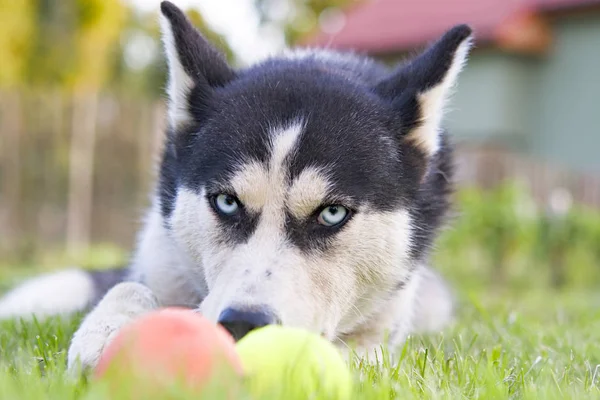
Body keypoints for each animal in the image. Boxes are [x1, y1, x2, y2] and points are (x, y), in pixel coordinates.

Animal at [0, 2, 474, 372]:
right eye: (227, 203)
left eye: (332, 213)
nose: (244, 323)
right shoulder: (160, 255)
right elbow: (130, 285)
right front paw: (110, 330)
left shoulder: (386, 320)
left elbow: (362, 348)